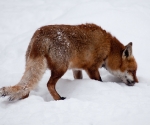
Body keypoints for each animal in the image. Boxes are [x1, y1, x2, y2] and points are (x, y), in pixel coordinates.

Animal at [0, 23, 138, 101]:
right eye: (132, 71)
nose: (137, 82)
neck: (108, 48)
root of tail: (40, 34)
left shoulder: (77, 68)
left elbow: (79, 79)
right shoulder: (92, 68)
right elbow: (99, 81)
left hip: (33, 64)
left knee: (26, 88)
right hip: (61, 68)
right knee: (49, 84)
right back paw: (59, 98)